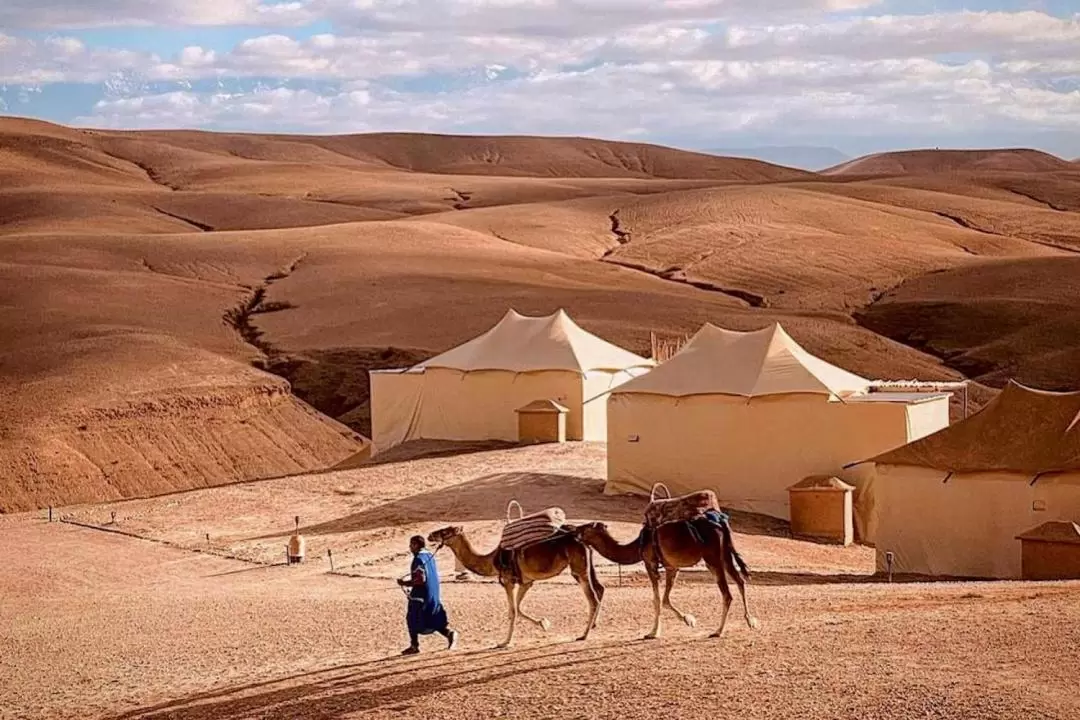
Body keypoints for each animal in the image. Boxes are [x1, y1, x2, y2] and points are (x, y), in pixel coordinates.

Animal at [425, 526, 604, 651]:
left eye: (445, 531)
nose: (430, 535)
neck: (492, 560)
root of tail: (583, 541)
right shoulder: (526, 582)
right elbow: (518, 608)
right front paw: (543, 623)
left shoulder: (508, 581)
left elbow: (512, 611)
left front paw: (504, 642)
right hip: (585, 567)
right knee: (599, 590)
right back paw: (592, 627)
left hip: (579, 568)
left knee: (593, 598)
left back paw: (583, 635)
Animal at [574, 518, 760, 643]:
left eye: (585, 528)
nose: (573, 531)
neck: (637, 546)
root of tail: (720, 526)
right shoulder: (672, 567)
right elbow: (664, 599)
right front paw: (688, 619)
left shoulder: (650, 564)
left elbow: (656, 600)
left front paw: (652, 633)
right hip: (725, 555)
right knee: (740, 581)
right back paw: (750, 621)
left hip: (712, 559)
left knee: (727, 593)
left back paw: (718, 631)